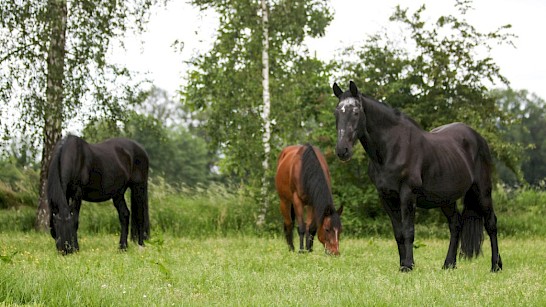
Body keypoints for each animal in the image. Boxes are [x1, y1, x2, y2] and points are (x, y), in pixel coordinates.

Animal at [330, 81, 500, 272]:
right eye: (337, 112)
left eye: (356, 112)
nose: (342, 150)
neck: (392, 149)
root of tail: (478, 138)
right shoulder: (386, 197)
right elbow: (398, 233)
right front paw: (403, 265)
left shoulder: (407, 195)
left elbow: (408, 231)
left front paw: (408, 266)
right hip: (446, 199)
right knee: (455, 225)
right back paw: (449, 264)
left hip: (482, 191)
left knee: (491, 224)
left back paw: (496, 265)